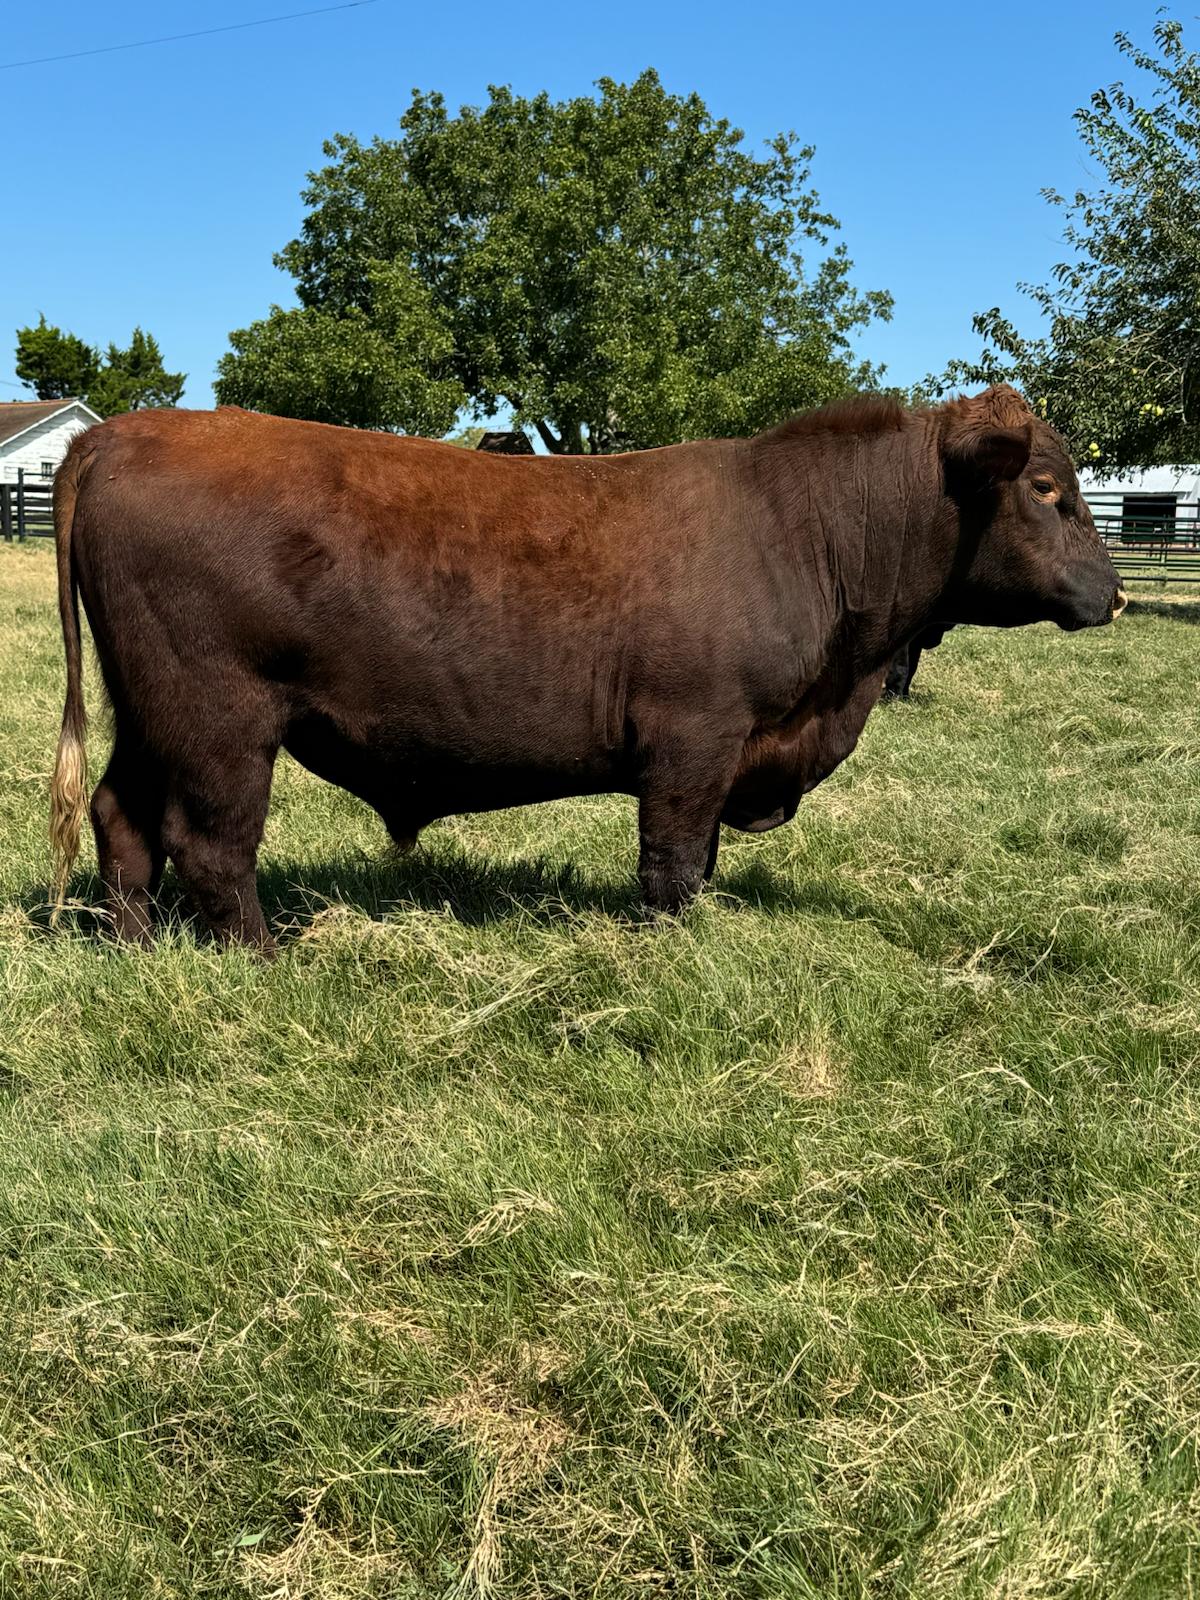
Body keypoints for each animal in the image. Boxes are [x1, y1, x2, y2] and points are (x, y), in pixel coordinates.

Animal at [47, 382, 1126, 940]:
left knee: (121, 819)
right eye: (1045, 487)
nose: (1114, 594)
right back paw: (268, 960)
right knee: (212, 845)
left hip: (149, 709)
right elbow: (674, 865)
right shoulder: (694, 740)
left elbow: (700, 862)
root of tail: (124, 432)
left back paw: (138, 945)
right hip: (219, 719)